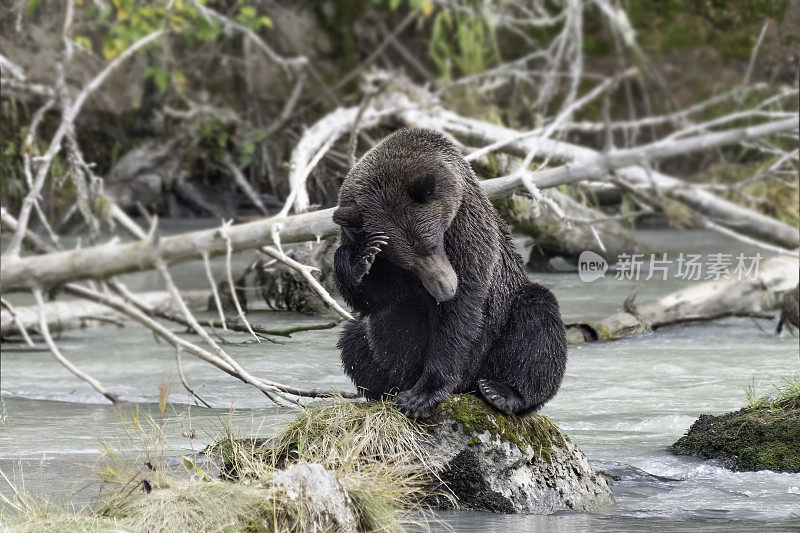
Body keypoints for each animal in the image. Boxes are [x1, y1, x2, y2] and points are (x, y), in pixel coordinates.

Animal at [334, 128, 564, 416]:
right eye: (406, 261)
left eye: (432, 243)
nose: (444, 290)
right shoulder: (374, 252)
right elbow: (376, 300)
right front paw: (361, 254)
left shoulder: (467, 230)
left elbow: (460, 315)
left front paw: (422, 395)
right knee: (354, 339)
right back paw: (386, 389)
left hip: (496, 338)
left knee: (538, 319)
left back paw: (502, 392)